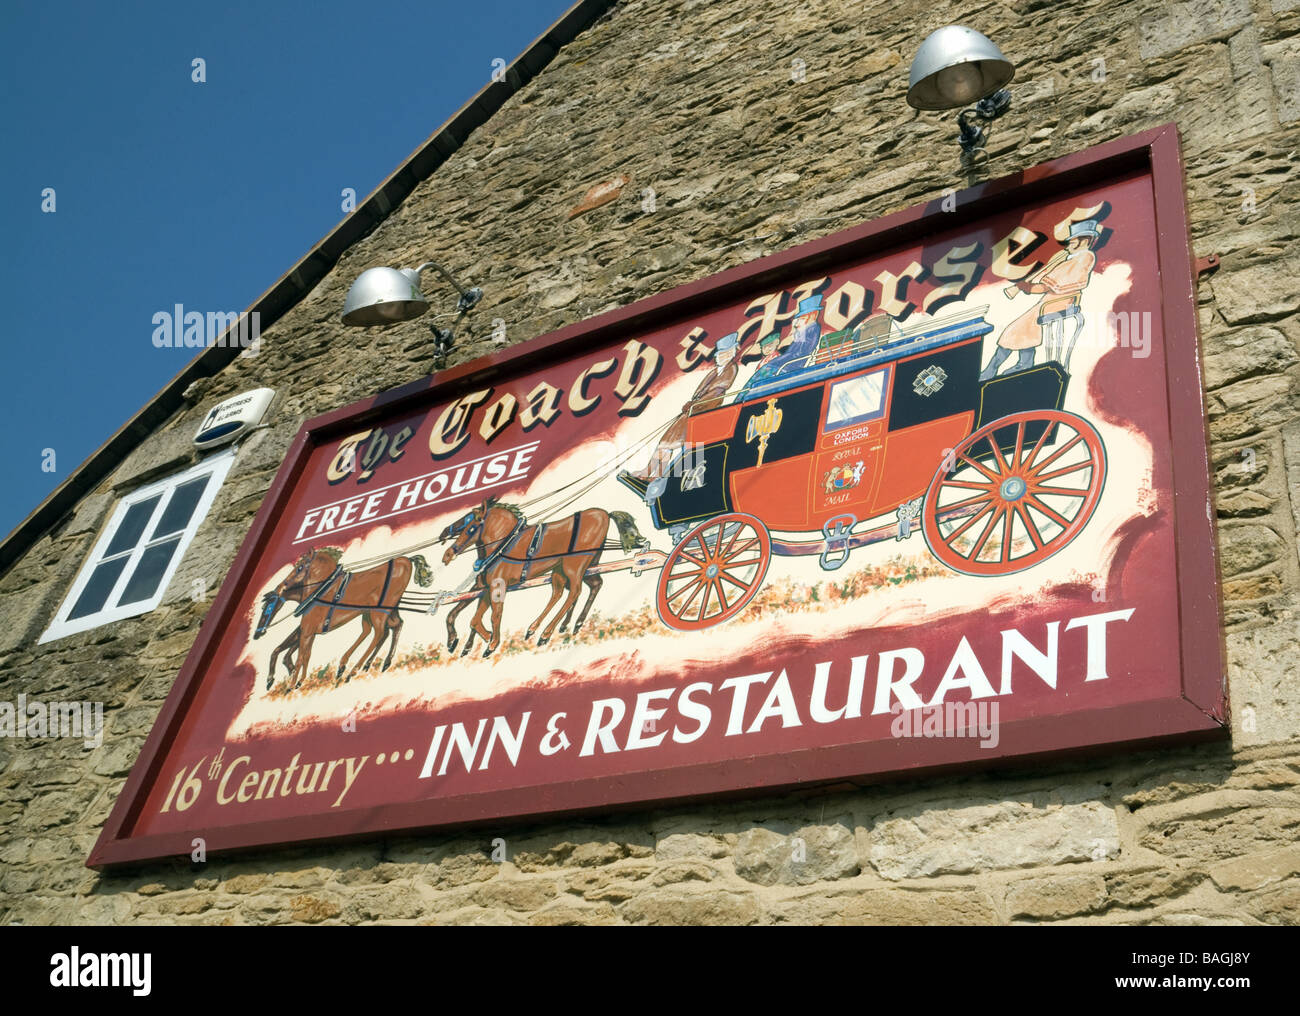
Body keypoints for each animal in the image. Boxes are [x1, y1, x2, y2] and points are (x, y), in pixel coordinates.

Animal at [250, 548, 434, 691]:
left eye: (300, 567)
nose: (281, 587)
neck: (320, 591)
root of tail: (405, 560)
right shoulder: (307, 630)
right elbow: (300, 653)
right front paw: (294, 680)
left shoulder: (307, 630)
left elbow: (301, 656)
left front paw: (291, 684)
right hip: (380, 611)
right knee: (391, 627)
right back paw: (372, 663)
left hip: (379, 612)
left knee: (379, 633)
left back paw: (352, 670)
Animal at [444, 498, 647, 660]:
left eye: (471, 527)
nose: (447, 554)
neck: (504, 544)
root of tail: (604, 514)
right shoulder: (487, 587)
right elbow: (473, 618)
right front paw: (480, 639)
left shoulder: (497, 586)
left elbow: (493, 616)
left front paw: (491, 643)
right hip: (575, 568)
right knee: (580, 588)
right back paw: (561, 625)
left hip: (573, 567)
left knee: (574, 592)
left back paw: (546, 633)